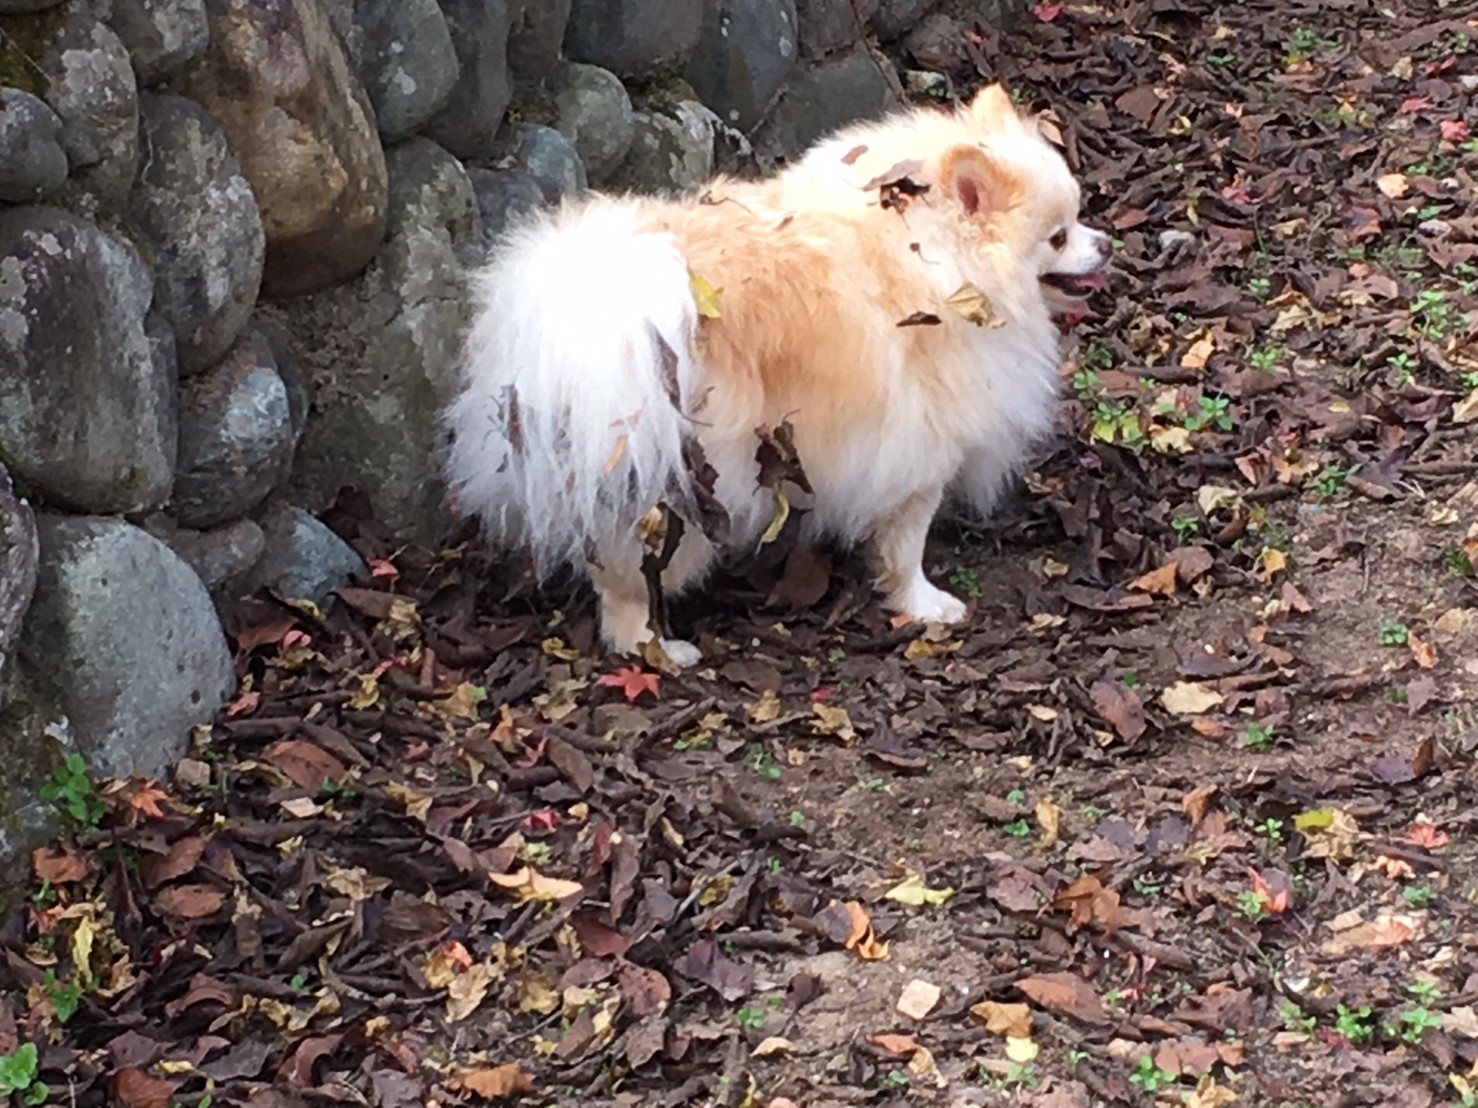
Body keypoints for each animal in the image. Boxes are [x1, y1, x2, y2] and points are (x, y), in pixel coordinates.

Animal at [443, 86, 1111, 664]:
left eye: (1080, 217)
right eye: (1058, 237)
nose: (1104, 243)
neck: (936, 256)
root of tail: (599, 303)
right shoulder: (922, 444)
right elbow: (907, 540)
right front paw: (924, 603)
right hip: (692, 482)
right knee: (628, 579)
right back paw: (656, 648)